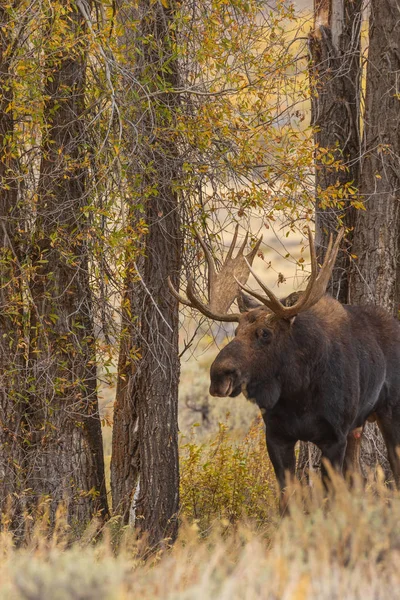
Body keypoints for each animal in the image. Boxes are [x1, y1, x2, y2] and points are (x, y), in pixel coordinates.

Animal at [168, 229, 400, 502]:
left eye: (265, 333)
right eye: (236, 331)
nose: (219, 376)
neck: (297, 393)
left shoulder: (334, 437)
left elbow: (330, 497)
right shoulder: (277, 436)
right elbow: (287, 498)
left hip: (390, 411)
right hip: (358, 426)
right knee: (358, 478)